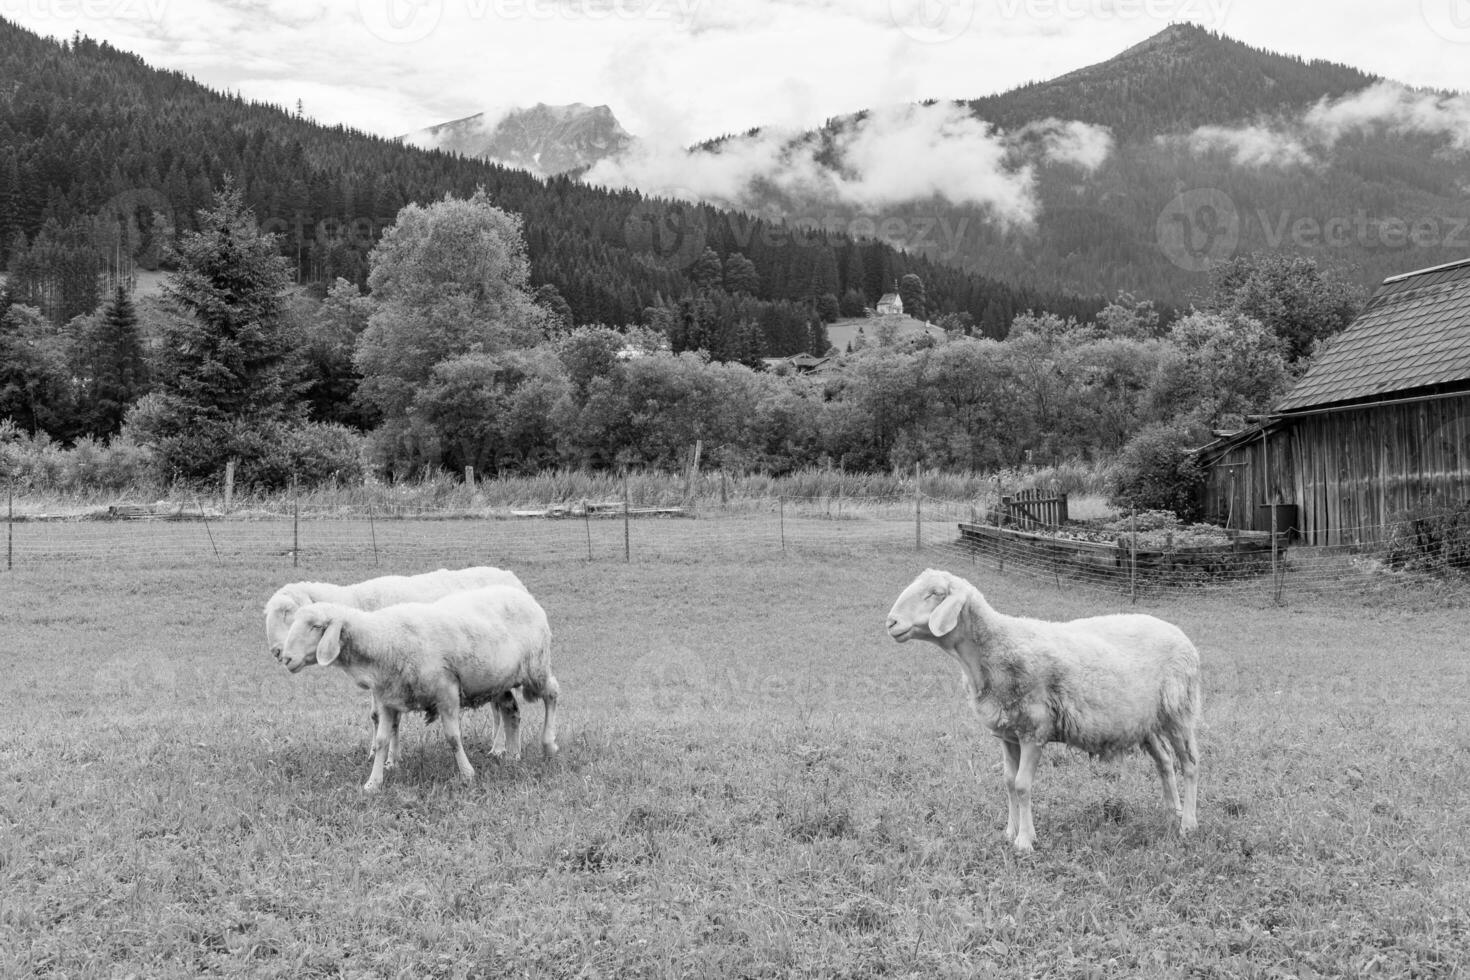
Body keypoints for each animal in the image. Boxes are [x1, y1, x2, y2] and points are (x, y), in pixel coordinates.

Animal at [266, 564, 529, 764]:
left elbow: (394, 721)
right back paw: (498, 748)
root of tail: (511, 577)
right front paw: (374, 753)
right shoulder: (380, 681)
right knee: (498, 707)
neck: (357, 606)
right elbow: (376, 716)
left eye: (289, 612)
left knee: (501, 709)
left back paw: (500, 748)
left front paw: (391, 760)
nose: (279, 653)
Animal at [280, 587, 561, 793]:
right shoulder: (387, 698)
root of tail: (523, 595)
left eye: (316, 626)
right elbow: (381, 741)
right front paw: (373, 783)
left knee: (552, 693)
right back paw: (512, 756)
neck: (385, 639)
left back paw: (548, 746)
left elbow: (453, 737)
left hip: (536, 666)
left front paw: (467, 774)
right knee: (511, 710)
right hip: (498, 679)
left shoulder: (446, 691)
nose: (285, 658)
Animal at [876, 567, 1199, 852]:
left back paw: (1188, 824)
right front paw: (1009, 832)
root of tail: (1179, 633)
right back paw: (1172, 812)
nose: (891, 622)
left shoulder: (1034, 729)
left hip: (1179, 709)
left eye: (935, 594)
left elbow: (1021, 785)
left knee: (1189, 764)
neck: (992, 648)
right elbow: (1008, 782)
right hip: (1145, 720)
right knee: (1165, 761)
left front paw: (1025, 841)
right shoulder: (1008, 734)